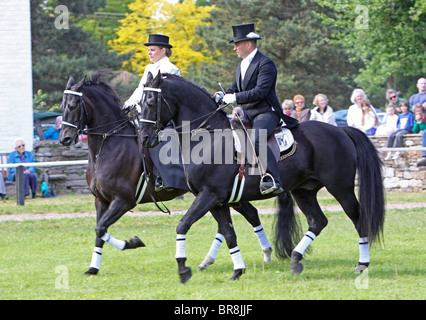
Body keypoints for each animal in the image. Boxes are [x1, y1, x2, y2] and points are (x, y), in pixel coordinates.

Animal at [59, 71, 272, 276]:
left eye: (72, 105)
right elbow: (98, 233)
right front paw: (93, 268)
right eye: (62, 106)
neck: (110, 143)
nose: (64, 139)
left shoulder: (123, 201)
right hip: (228, 195)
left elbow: (101, 228)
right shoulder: (101, 201)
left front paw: (133, 243)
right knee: (246, 216)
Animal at [139, 72, 386, 282]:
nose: (143, 138)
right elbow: (229, 233)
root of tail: (340, 130)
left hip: (340, 188)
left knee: (358, 218)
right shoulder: (217, 201)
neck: (207, 138)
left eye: (151, 103)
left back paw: (362, 264)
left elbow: (183, 224)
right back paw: (295, 259)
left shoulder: (210, 195)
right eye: (140, 104)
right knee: (318, 221)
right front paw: (237, 270)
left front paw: (183, 269)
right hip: (303, 190)